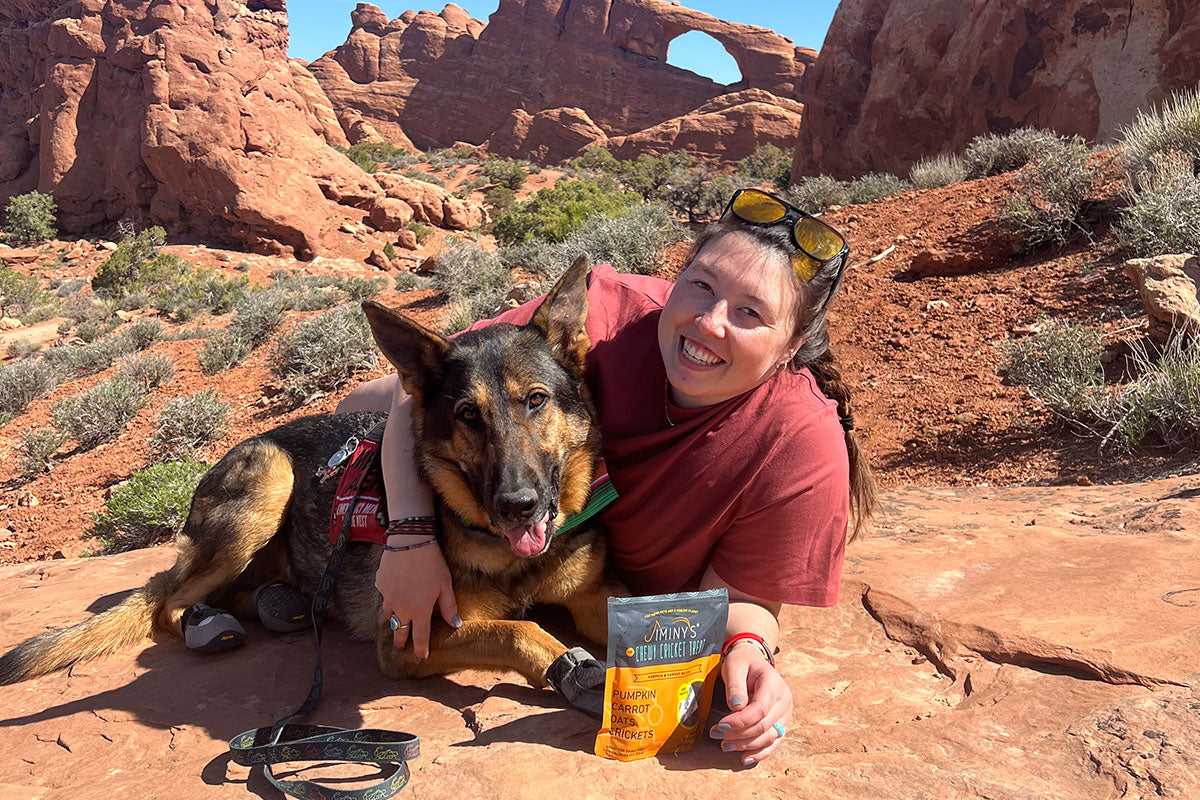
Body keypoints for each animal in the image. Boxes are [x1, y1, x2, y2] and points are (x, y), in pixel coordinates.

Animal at [0, 256, 619, 690]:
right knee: (167, 602)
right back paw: (210, 621)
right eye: (469, 415)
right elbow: (524, 631)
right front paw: (573, 672)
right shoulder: (410, 638)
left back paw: (278, 602)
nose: (517, 505)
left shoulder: (595, 598)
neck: (511, 558)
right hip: (269, 481)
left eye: (536, 400)